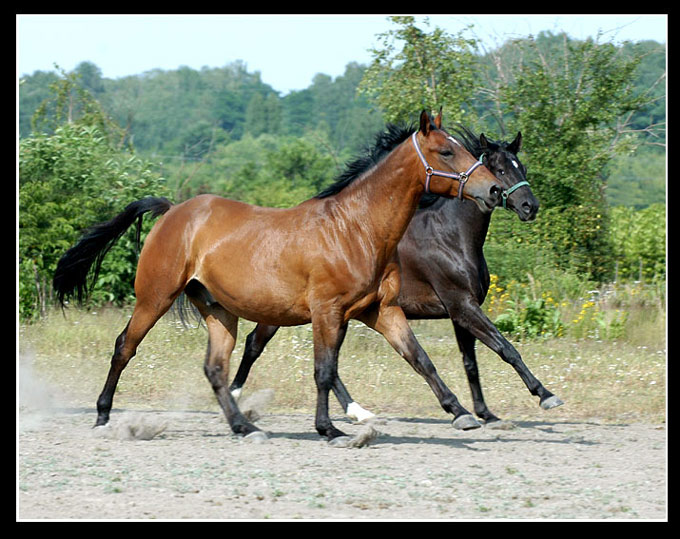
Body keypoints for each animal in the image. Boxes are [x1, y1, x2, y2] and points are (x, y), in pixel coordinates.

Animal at [53, 108, 502, 442]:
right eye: (446, 152)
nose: (495, 190)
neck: (356, 228)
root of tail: (173, 210)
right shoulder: (328, 311)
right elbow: (324, 371)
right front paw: (329, 429)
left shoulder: (381, 310)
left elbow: (420, 359)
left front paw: (462, 413)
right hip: (155, 297)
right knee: (124, 348)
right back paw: (103, 417)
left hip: (219, 311)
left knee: (215, 369)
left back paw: (244, 426)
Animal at [228, 126, 564, 426]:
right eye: (500, 169)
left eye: (521, 167)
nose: (529, 206)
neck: (451, 237)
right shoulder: (462, 306)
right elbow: (506, 348)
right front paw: (545, 395)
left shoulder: (461, 312)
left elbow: (471, 363)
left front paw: (486, 414)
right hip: (285, 312)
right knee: (254, 344)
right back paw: (235, 396)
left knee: (329, 365)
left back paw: (357, 412)